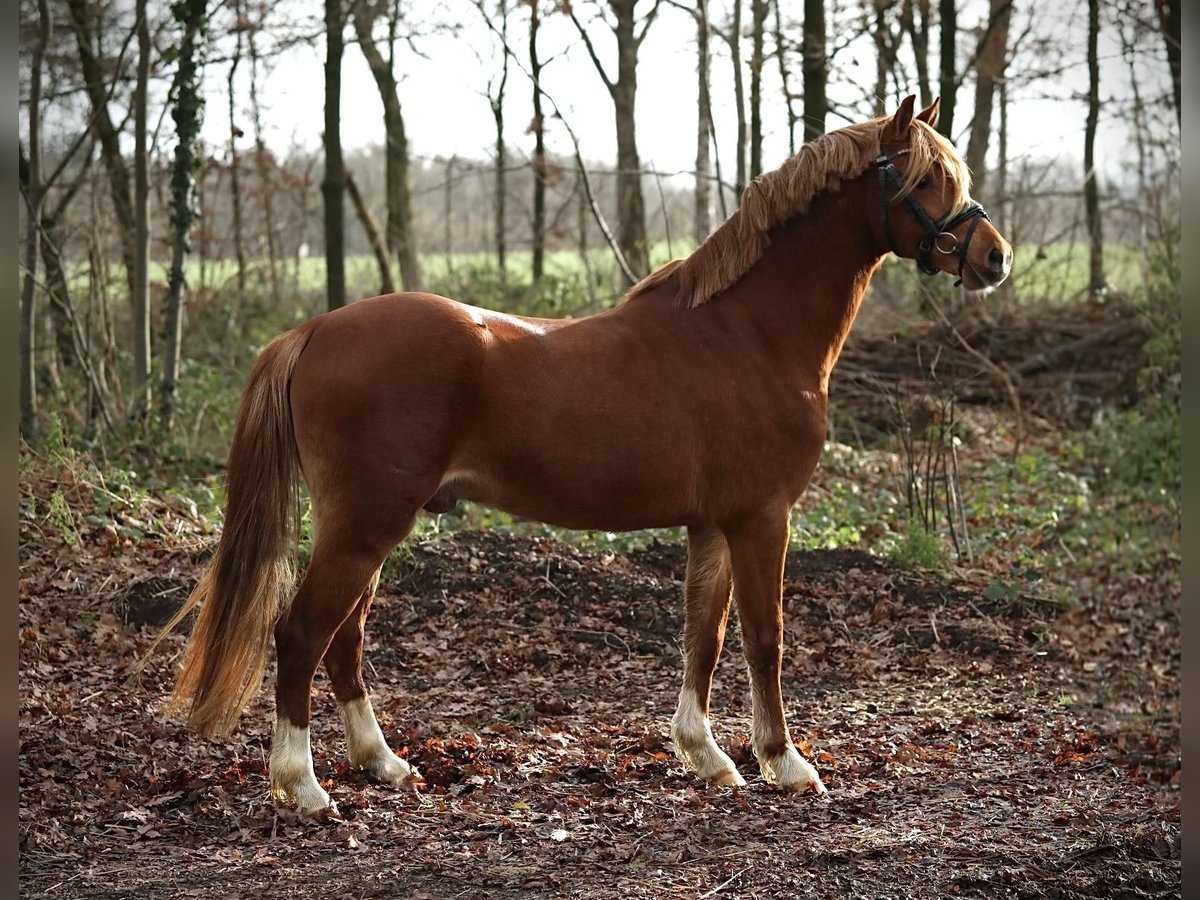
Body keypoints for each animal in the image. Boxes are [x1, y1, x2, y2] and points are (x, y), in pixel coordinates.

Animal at [154, 97, 1008, 816]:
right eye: (927, 178)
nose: (994, 257)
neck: (750, 335)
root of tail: (314, 330)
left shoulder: (712, 524)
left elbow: (705, 635)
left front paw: (705, 757)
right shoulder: (763, 518)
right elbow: (765, 638)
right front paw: (785, 762)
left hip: (368, 527)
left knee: (345, 638)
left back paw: (384, 764)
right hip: (366, 524)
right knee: (303, 634)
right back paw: (302, 786)